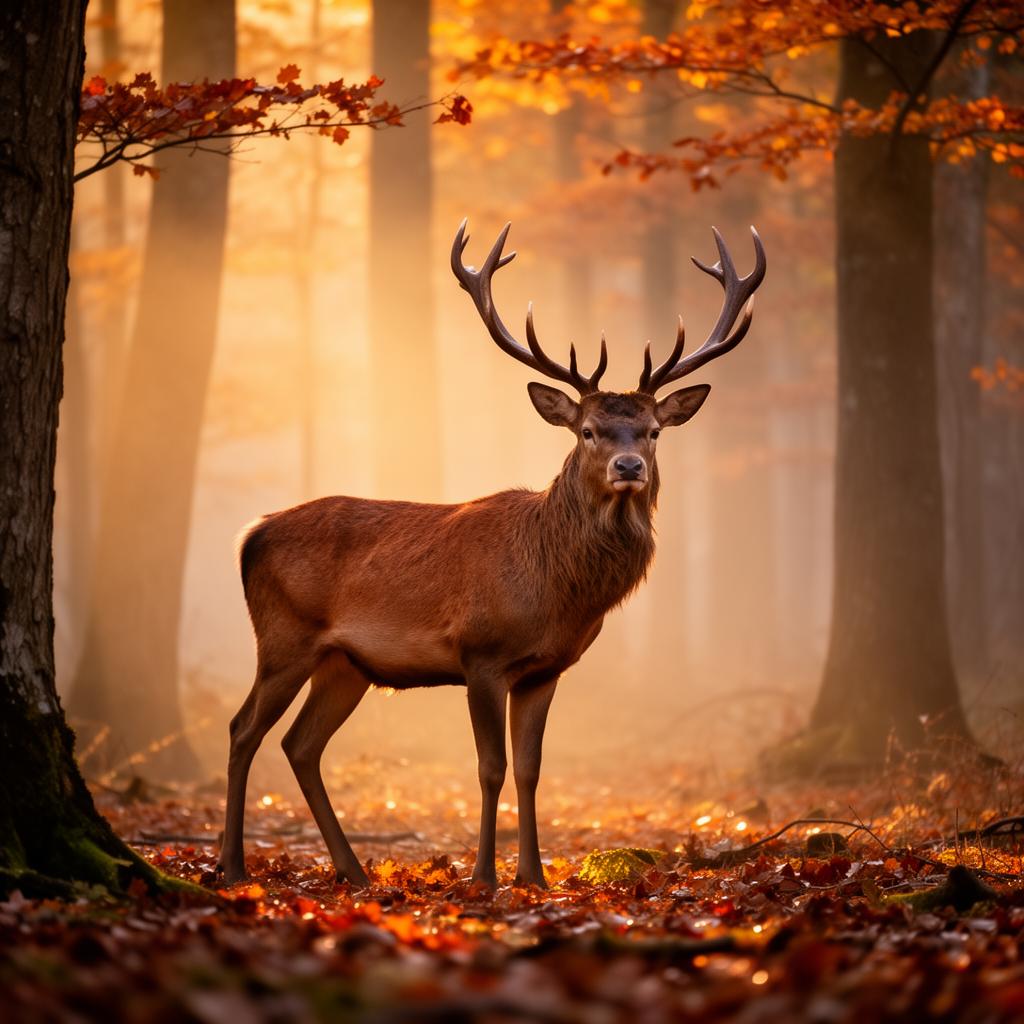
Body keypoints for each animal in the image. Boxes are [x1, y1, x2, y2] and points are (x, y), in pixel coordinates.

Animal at [217, 219, 766, 889]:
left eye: (654, 431)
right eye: (588, 431)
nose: (629, 467)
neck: (555, 592)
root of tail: (251, 534)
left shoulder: (545, 669)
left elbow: (530, 769)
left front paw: (534, 875)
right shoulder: (480, 653)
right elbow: (490, 767)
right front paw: (485, 876)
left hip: (346, 663)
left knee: (300, 744)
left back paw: (352, 870)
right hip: (284, 636)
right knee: (243, 730)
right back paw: (232, 864)